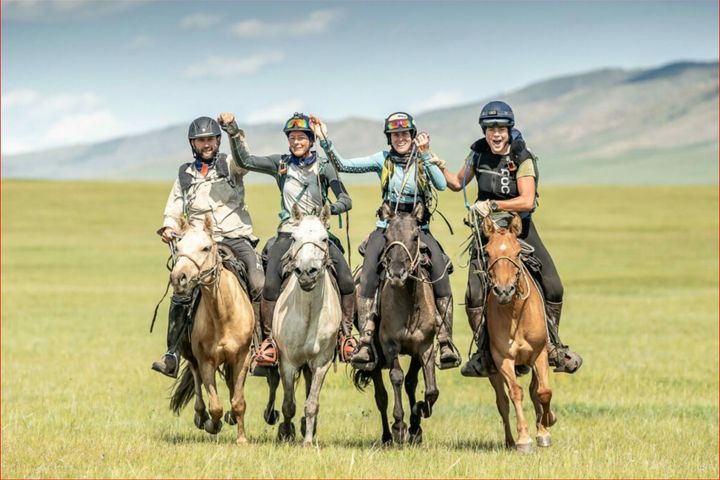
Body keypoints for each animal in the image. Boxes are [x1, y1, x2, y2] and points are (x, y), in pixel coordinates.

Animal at [167, 216, 255, 444]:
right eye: (178, 246)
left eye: (206, 248)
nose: (179, 278)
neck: (222, 313)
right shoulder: (206, 360)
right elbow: (215, 405)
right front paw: (212, 425)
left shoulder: (242, 357)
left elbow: (239, 400)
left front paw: (242, 439)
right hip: (191, 356)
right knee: (197, 382)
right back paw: (201, 416)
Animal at [274, 203, 344, 446]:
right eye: (294, 238)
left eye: (324, 238)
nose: (306, 273)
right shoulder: (287, 361)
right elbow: (288, 404)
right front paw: (286, 435)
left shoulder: (322, 362)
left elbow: (311, 403)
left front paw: (307, 442)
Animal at [354, 201, 438, 444]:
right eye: (387, 236)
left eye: (415, 236)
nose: (397, 272)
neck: (409, 305)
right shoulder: (389, 345)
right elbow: (397, 378)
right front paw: (400, 426)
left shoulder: (424, 347)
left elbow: (427, 389)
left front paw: (417, 418)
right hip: (374, 356)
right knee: (381, 396)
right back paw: (387, 435)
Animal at [484, 216, 556, 452]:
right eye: (487, 252)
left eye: (517, 252)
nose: (504, 291)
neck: (515, 313)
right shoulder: (503, 359)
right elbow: (515, 392)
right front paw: (523, 439)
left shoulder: (539, 353)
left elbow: (542, 392)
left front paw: (545, 428)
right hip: (493, 372)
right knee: (502, 402)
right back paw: (509, 441)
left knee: (535, 390)